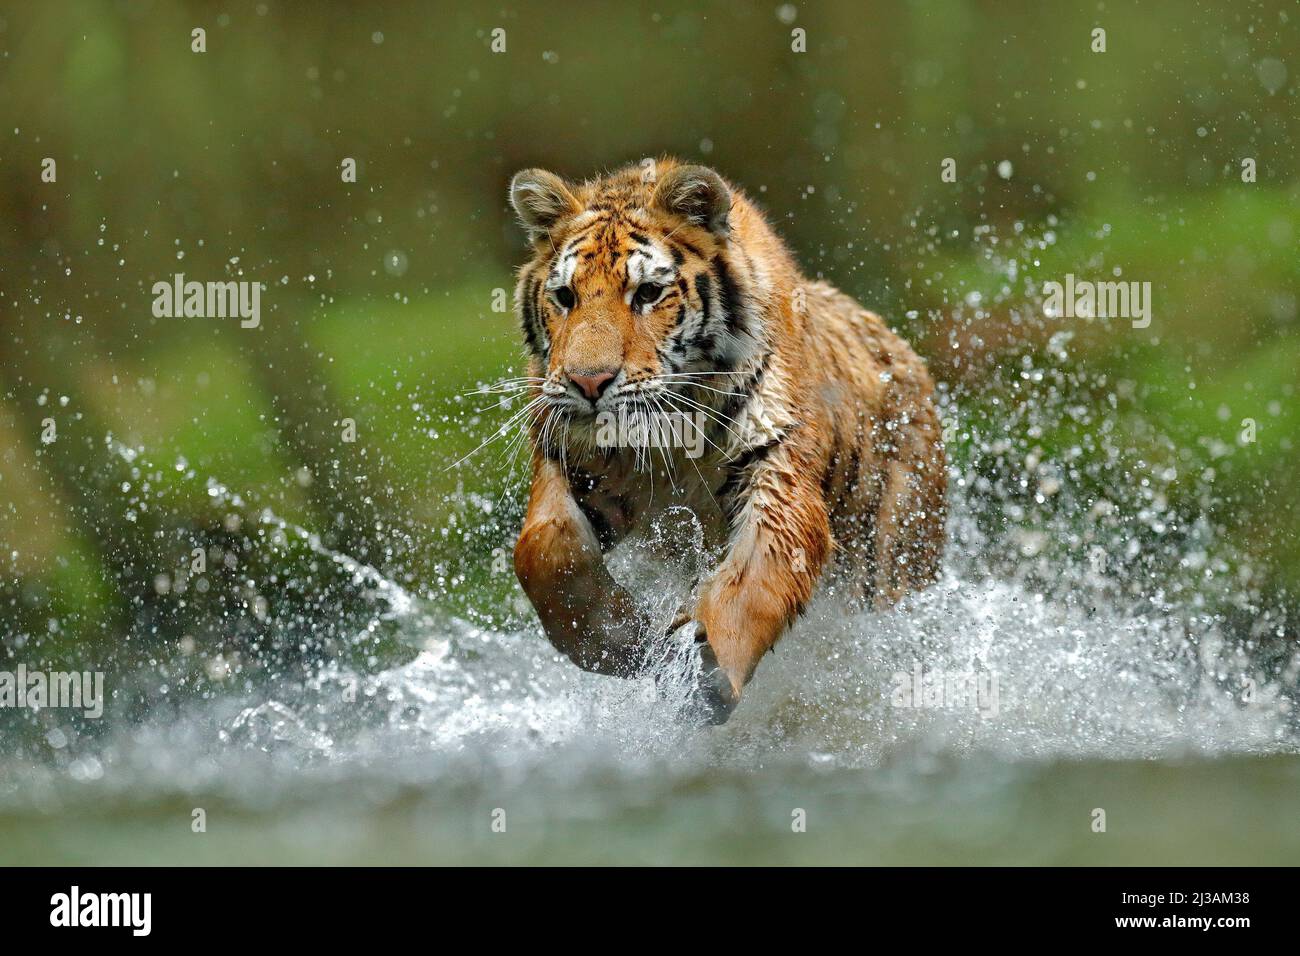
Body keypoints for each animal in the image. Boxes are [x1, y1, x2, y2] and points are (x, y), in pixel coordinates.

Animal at [507, 157, 946, 724]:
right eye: (565, 297)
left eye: (647, 293)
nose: (588, 382)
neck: (664, 436)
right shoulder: (567, 456)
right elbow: (543, 549)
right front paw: (623, 640)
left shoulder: (777, 470)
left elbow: (753, 580)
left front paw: (702, 669)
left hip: (896, 556)